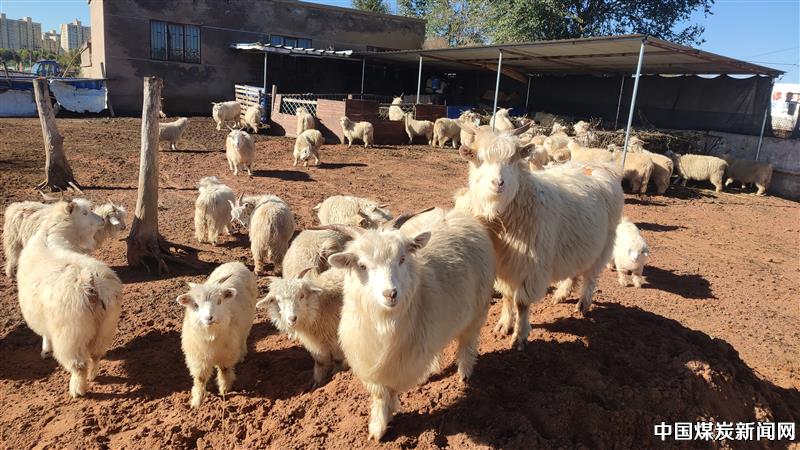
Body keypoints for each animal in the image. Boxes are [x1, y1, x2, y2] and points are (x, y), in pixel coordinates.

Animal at [17, 200, 121, 398]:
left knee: (79, 365)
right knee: (96, 355)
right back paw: (93, 375)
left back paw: (77, 389)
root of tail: (91, 282)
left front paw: (46, 350)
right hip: (106, 325)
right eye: (85, 212)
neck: (54, 234)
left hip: (71, 333)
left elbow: (45, 334)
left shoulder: (43, 315)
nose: (102, 220)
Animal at [177, 261, 258, 408]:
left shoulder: (227, 354)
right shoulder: (198, 358)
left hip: (248, 323)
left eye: (219, 301)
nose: (209, 317)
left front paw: (224, 390)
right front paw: (197, 401)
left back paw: (242, 355)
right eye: (195, 305)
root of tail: (236, 263)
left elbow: (225, 371)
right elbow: (200, 379)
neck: (210, 336)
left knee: (243, 339)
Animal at [324, 208, 495, 441]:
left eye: (402, 259)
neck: (384, 321)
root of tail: (454, 215)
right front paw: (378, 426)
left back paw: (465, 371)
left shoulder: (400, 361)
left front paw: (384, 419)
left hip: (478, 308)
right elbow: (380, 393)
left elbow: (390, 390)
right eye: (362, 266)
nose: (390, 293)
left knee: (468, 340)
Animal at [455, 124, 624, 350]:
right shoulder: (504, 265)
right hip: (577, 244)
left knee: (591, 275)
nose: (498, 183)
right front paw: (503, 325)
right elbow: (507, 296)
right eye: (478, 158)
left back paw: (583, 304)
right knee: (575, 271)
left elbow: (522, 303)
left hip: (605, 243)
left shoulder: (530, 267)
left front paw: (519, 336)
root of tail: (600, 167)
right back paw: (561, 294)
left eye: (513, 158)